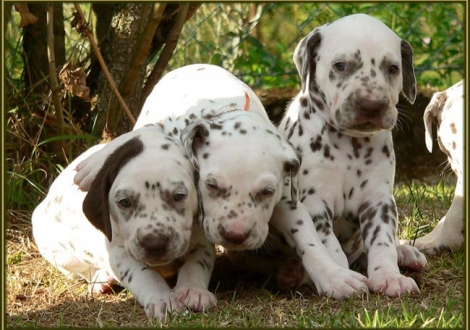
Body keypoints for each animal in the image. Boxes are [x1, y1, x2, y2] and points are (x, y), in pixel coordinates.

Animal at [30, 125, 217, 318]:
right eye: (124, 202)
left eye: (178, 196)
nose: (155, 244)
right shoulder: (120, 254)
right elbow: (145, 276)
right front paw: (163, 299)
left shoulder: (202, 243)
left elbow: (196, 265)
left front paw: (193, 291)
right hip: (57, 251)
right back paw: (101, 278)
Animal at [272, 13, 430, 296]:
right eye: (341, 65)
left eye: (393, 68)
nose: (372, 105)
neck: (350, 146)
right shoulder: (314, 203)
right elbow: (331, 248)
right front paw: (340, 277)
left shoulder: (379, 201)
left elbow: (381, 242)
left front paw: (390, 276)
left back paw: (406, 253)